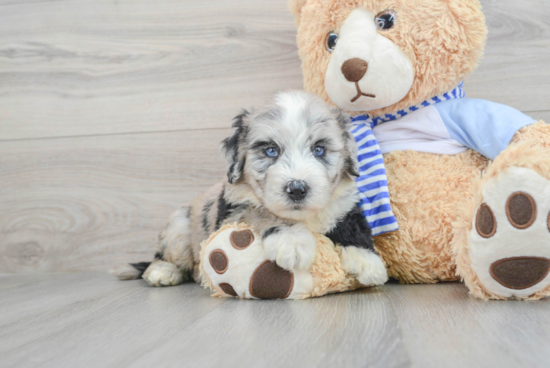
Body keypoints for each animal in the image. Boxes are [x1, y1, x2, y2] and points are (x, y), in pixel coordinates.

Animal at [113, 91, 388, 288]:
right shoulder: (234, 210)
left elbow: (354, 225)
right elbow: (262, 212)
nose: (297, 189)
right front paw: (293, 241)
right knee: (164, 255)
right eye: (270, 150)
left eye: (319, 150)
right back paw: (163, 271)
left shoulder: (345, 202)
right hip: (180, 226)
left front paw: (368, 261)